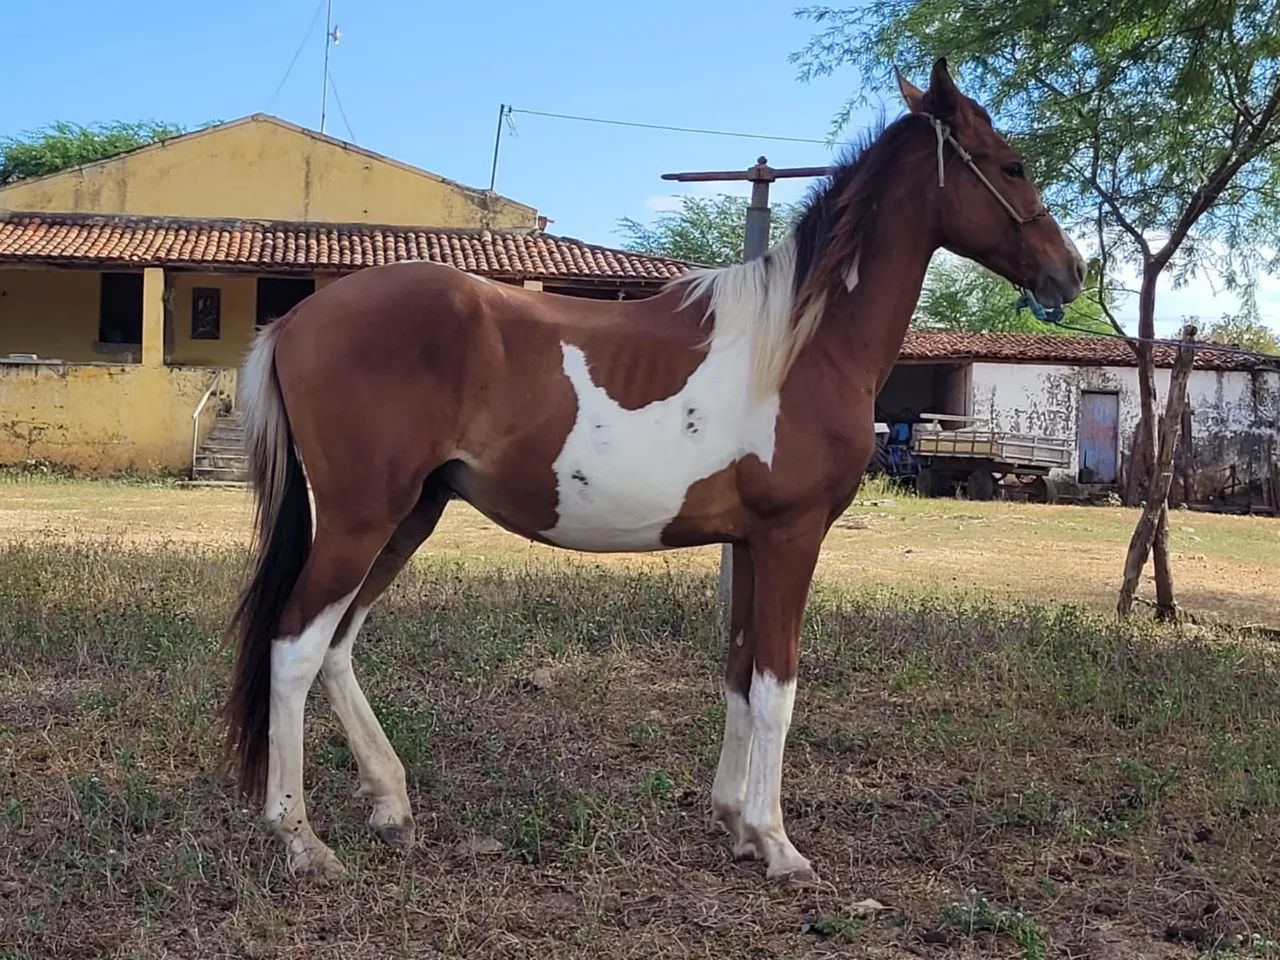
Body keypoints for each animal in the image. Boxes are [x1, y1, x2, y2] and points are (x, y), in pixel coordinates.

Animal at [221, 58, 1086, 884]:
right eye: (1010, 166)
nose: (1070, 272)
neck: (801, 344)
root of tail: (297, 318)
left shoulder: (749, 543)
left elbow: (740, 673)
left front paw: (736, 824)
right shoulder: (792, 536)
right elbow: (778, 685)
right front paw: (778, 844)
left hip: (410, 516)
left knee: (337, 645)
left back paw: (392, 806)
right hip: (361, 520)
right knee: (295, 650)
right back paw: (300, 840)